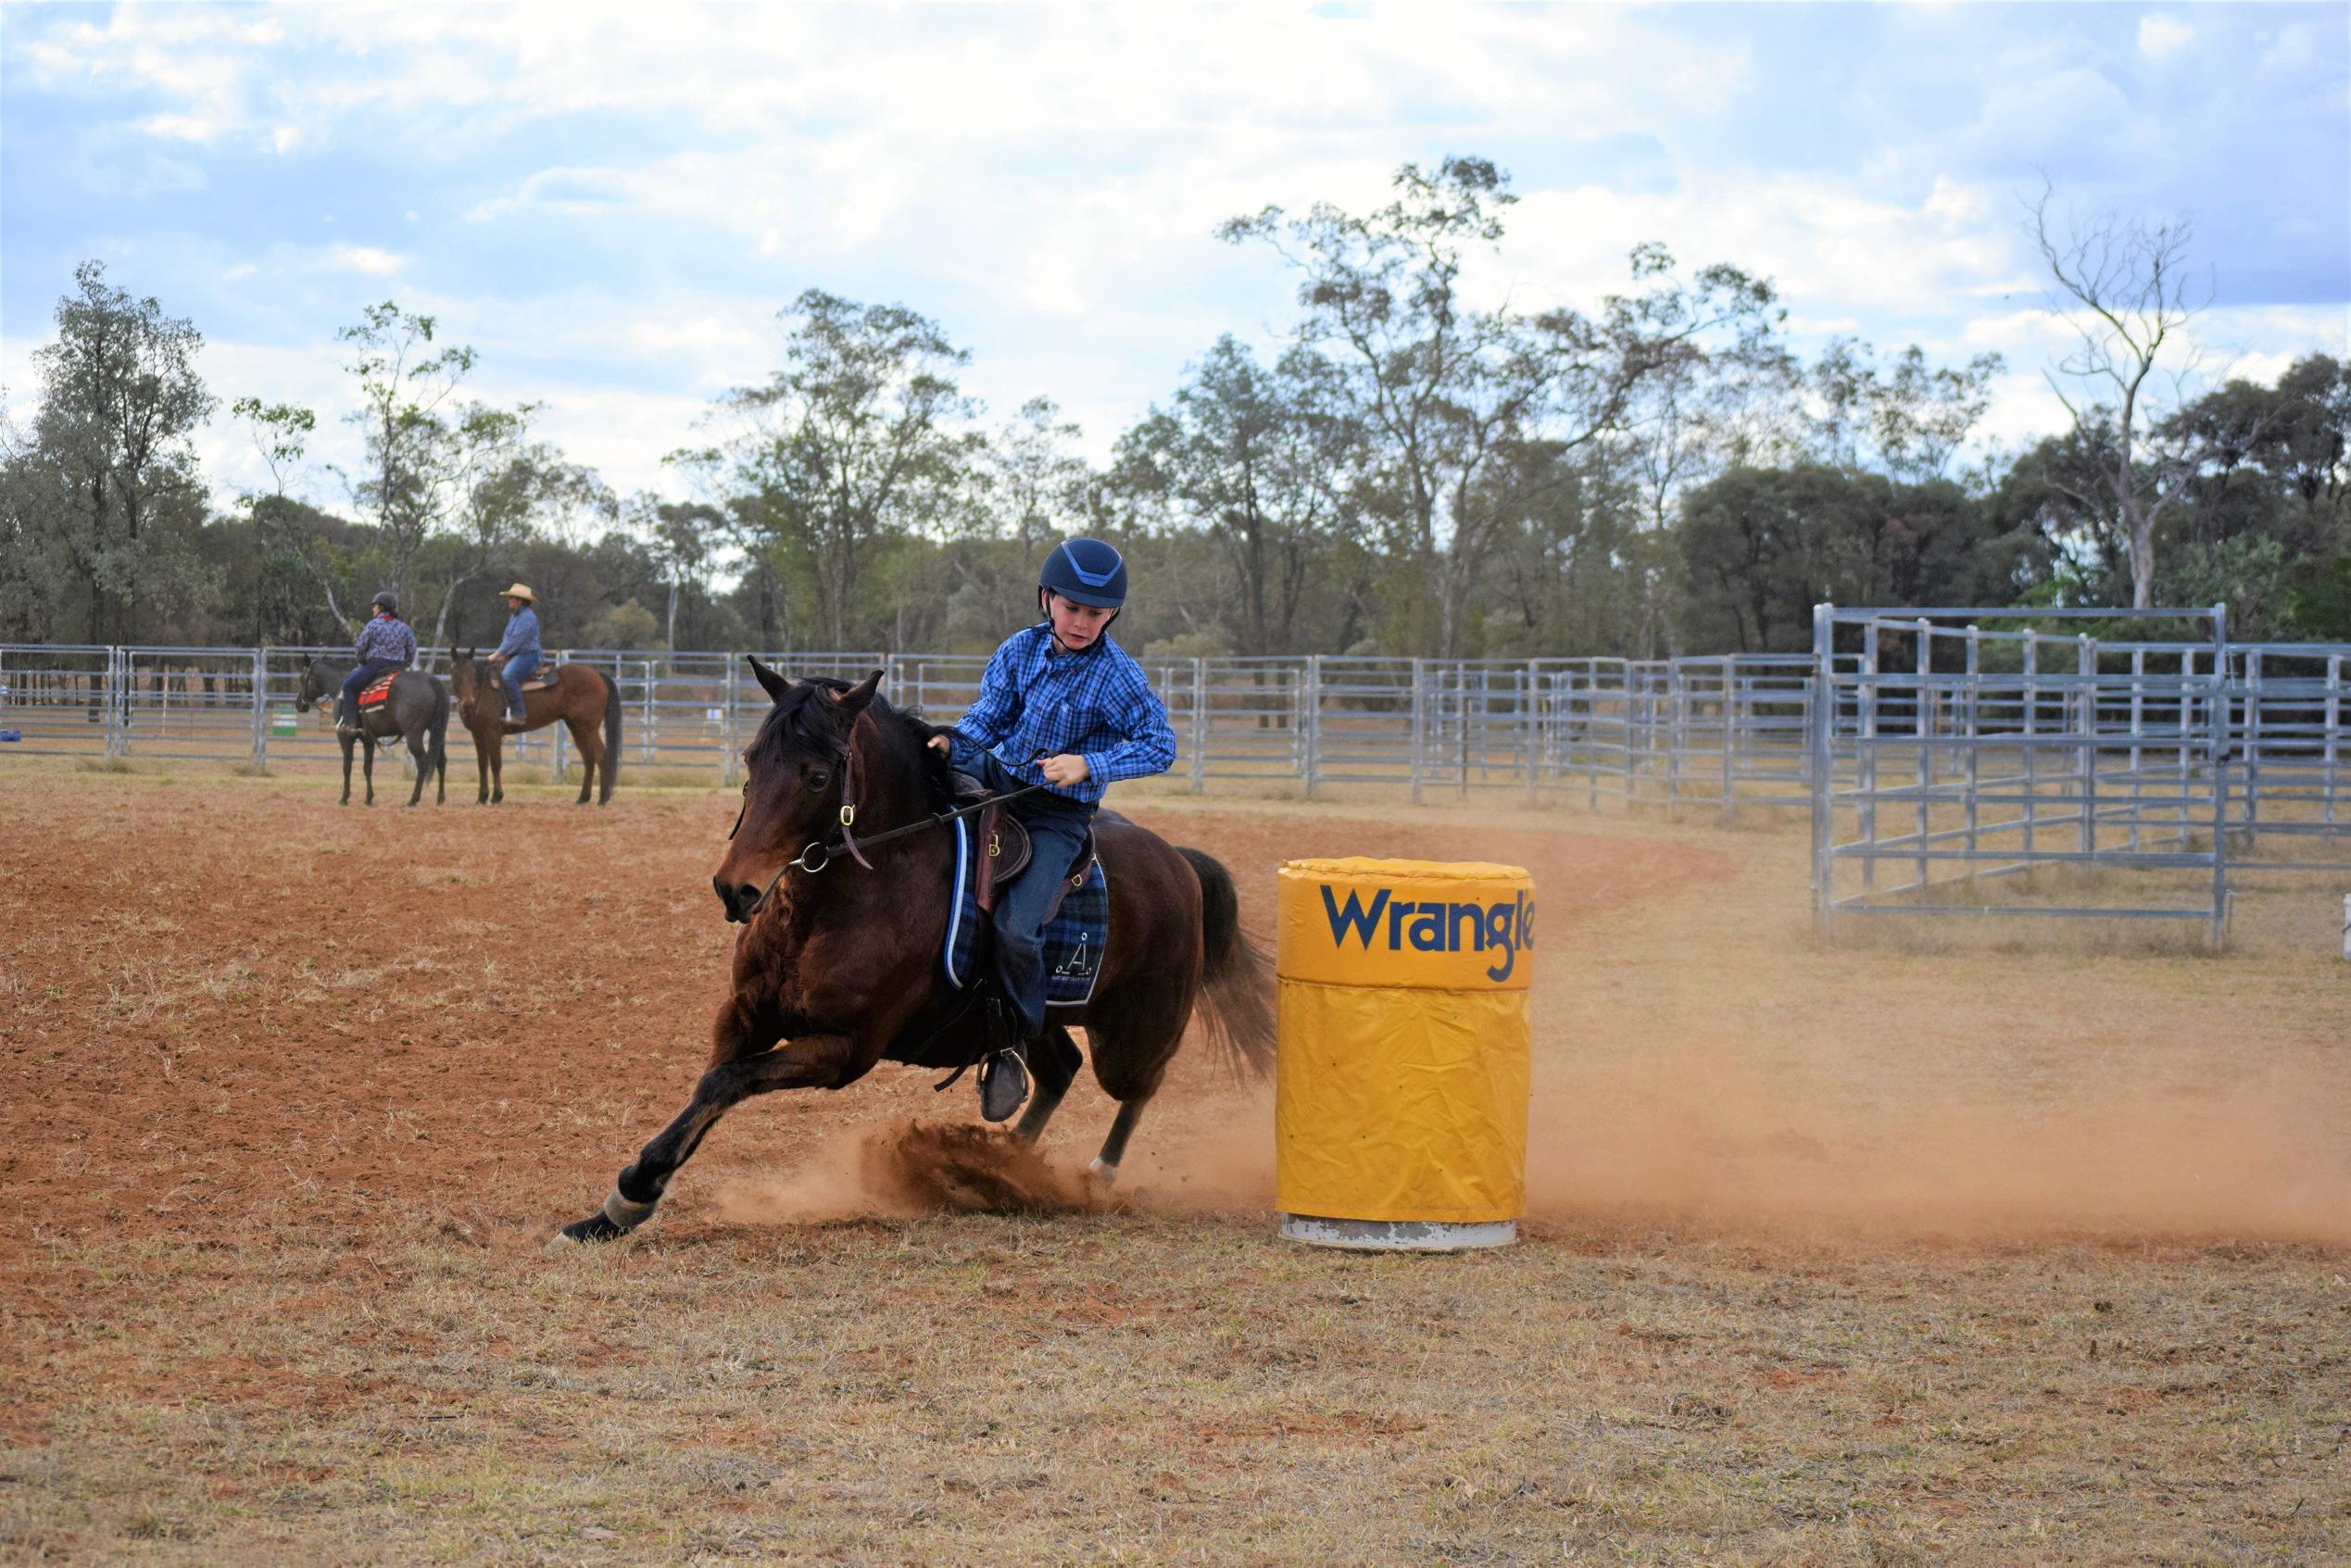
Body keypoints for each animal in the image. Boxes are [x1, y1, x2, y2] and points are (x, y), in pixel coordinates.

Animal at [294, 658, 448, 809]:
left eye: (302, 678)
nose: (299, 704)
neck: (340, 684)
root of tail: (431, 680)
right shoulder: (368, 739)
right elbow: (367, 768)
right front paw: (369, 798)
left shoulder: (345, 737)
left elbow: (347, 766)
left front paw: (344, 798)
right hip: (437, 732)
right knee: (441, 761)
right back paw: (440, 799)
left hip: (413, 734)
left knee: (423, 761)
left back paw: (413, 800)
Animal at [446, 648, 621, 809]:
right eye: (454, 673)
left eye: (472, 673)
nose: (467, 704)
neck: (484, 689)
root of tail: (597, 674)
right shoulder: (477, 734)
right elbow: (482, 765)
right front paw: (481, 798)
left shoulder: (492, 732)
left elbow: (496, 764)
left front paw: (496, 797)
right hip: (577, 728)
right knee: (588, 759)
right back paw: (582, 798)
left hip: (589, 727)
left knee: (601, 756)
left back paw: (602, 799)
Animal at [552, 662, 1278, 1250]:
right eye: (752, 757)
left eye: (818, 775)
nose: (737, 889)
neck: (847, 896)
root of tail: (1179, 861)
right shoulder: (745, 1017)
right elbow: (710, 1087)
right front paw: (615, 1208)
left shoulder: (843, 1048)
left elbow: (726, 1083)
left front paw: (632, 1193)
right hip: (1038, 1019)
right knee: (1058, 1073)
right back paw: (996, 1166)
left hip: (1132, 1033)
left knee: (1139, 1086)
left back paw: (1088, 1177)